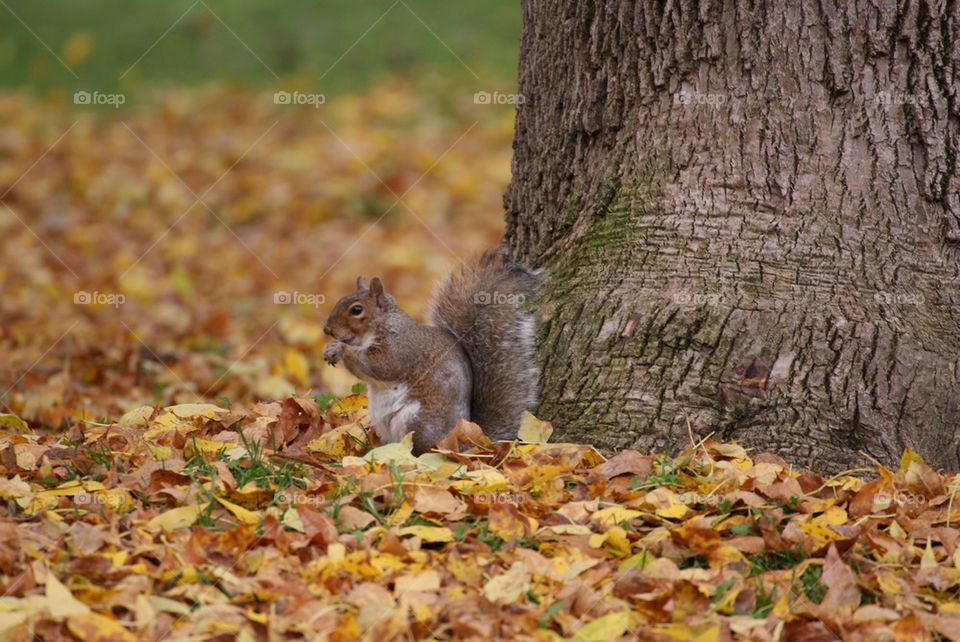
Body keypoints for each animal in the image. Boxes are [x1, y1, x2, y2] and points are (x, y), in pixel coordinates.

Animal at [322, 248, 539, 454]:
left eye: (356, 310)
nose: (327, 330)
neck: (384, 324)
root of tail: (466, 445)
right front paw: (330, 349)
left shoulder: (401, 348)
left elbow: (381, 366)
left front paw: (341, 349)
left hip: (417, 421)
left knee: (422, 450)